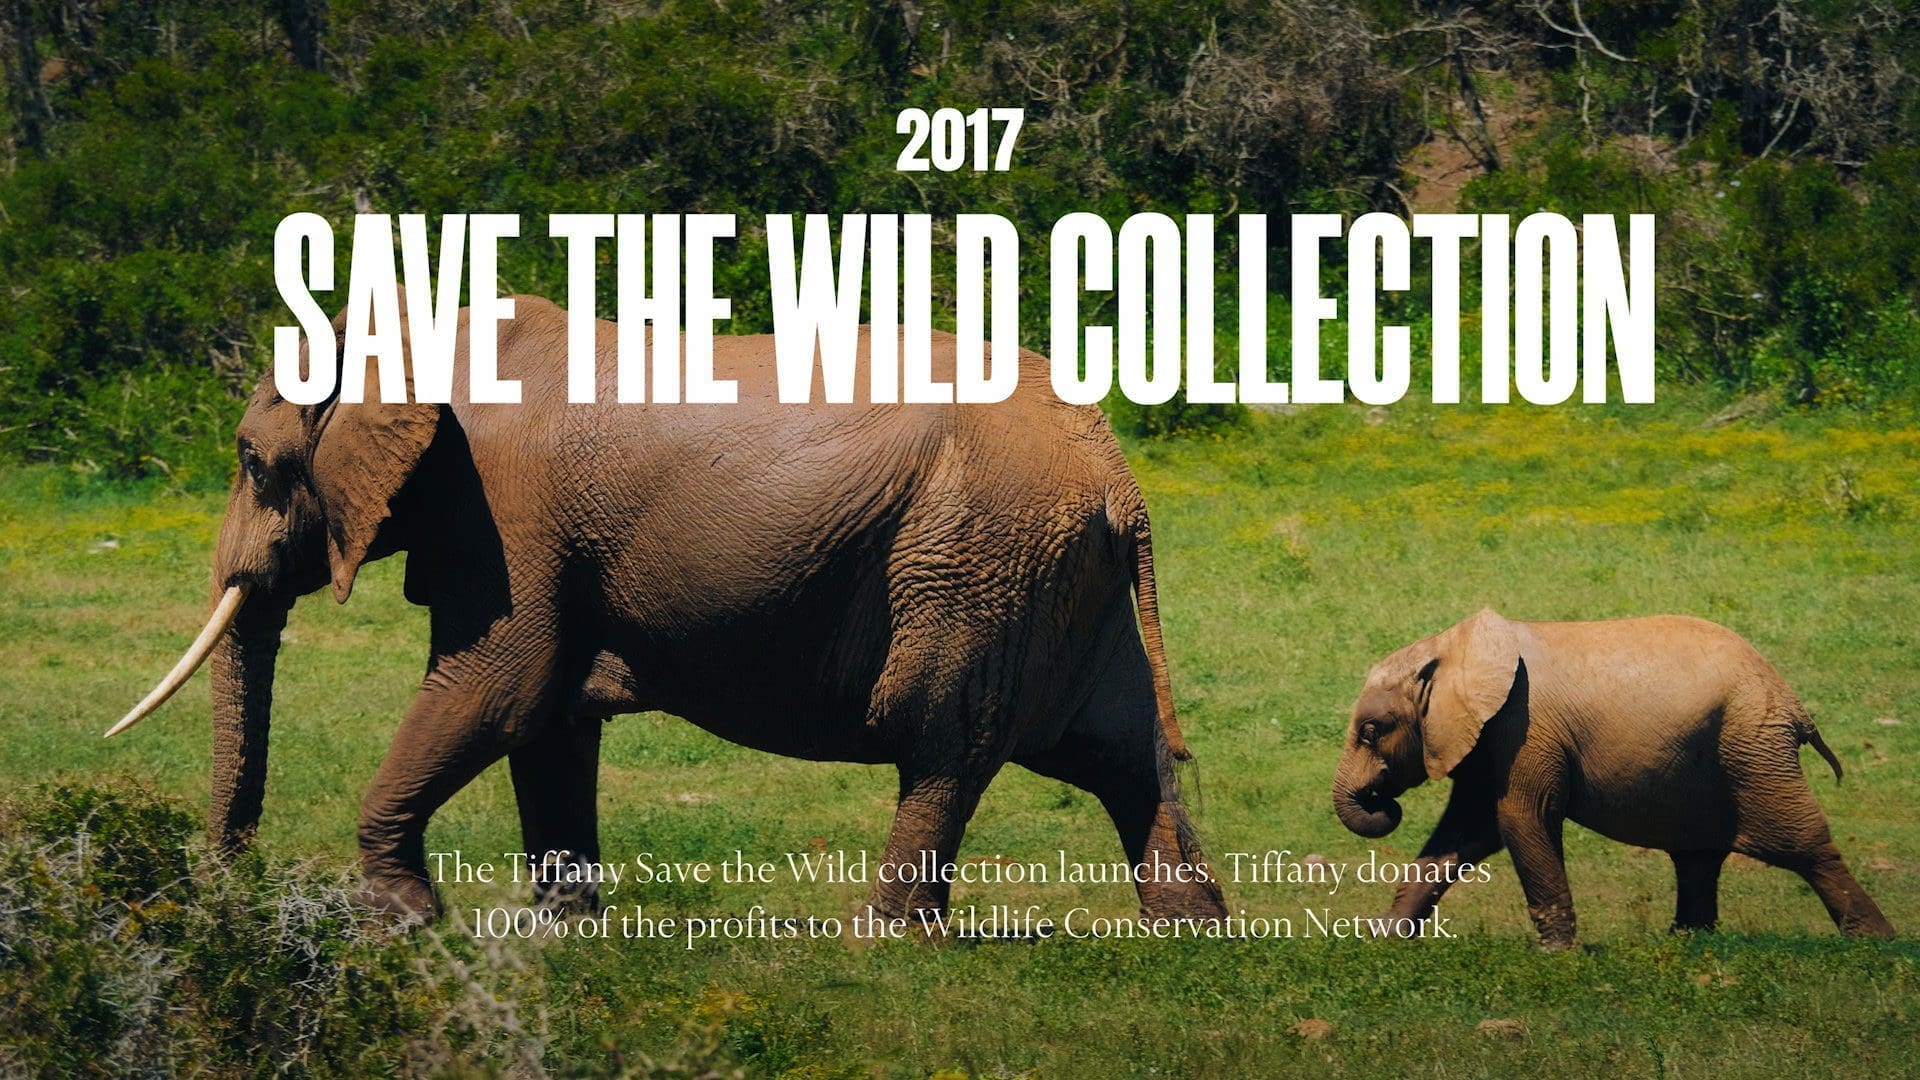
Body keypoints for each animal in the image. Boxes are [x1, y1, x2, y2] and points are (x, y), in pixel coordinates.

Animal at [109, 295, 1228, 927]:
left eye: (255, 464)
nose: (229, 886)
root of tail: (1116, 473)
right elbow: (547, 719)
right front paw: (563, 931)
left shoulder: (507, 517)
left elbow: (497, 688)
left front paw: (402, 924)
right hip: (1058, 578)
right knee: (1123, 752)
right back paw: (1189, 930)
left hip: (971, 560)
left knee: (942, 744)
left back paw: (886, 937)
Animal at [1331, 609, 1895, 949]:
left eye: (1371, 731)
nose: (1383, 801)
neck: (1452, 647)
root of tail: (1795, 705)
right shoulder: (1485, 737)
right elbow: (1464, 834)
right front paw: (1382, 939)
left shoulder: (1522, 728)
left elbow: (1521, 820)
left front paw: (1556, 954)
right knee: (1698, 857)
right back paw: (1687, 942)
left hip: (1753, 747)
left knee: (1804, 846)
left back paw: (1877, 943)